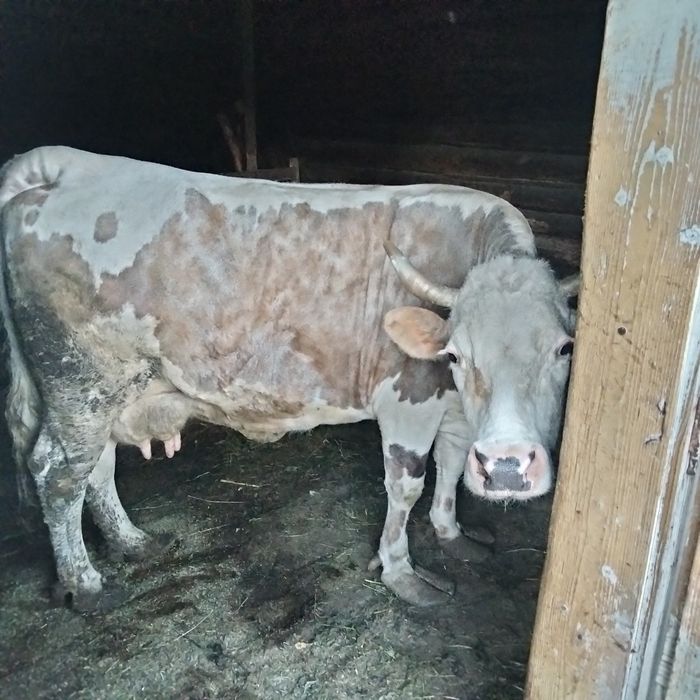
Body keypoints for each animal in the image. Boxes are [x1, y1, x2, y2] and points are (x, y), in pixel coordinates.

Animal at [0, 146, 578, 612]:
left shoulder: (452, 403)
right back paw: (85, 584)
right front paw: (401, 573)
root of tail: (70, 165)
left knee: (96, 468)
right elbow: (406, 483)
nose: (508, 469)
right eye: (458, 352)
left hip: (104, 393)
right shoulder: (407, 396)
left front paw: (452, 534)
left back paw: (131, 542)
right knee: (58, 473)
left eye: (564, 349)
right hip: (81, 383)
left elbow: (452, 463)